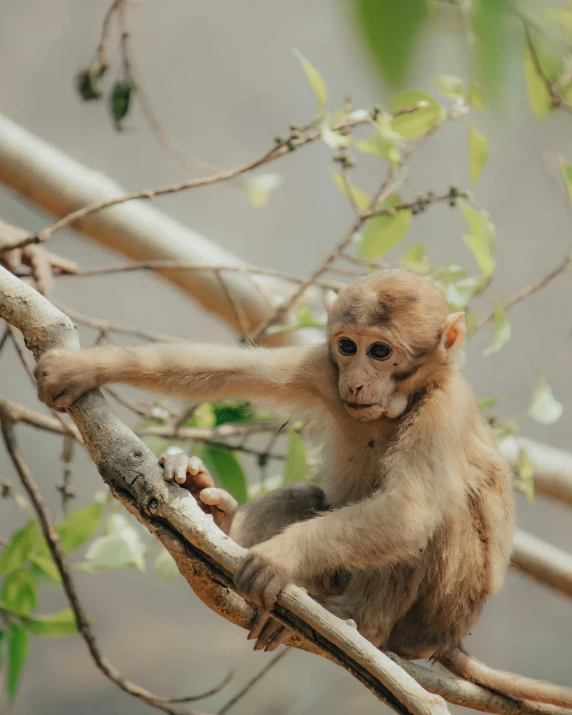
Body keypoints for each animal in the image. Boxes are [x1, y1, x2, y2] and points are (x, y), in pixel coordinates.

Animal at [33, 270, 572, 712]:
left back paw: (359, 625)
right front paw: (86, 368)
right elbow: (218, 369)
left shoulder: (444, 410)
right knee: (306, 497)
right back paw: (218, 519)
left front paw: (279, 557)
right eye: (348, 346)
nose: (356, 381)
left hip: (438, 613)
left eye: (381, 351)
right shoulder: (322, 369)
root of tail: (453, 641)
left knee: (437, 517)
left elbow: (411, 511)